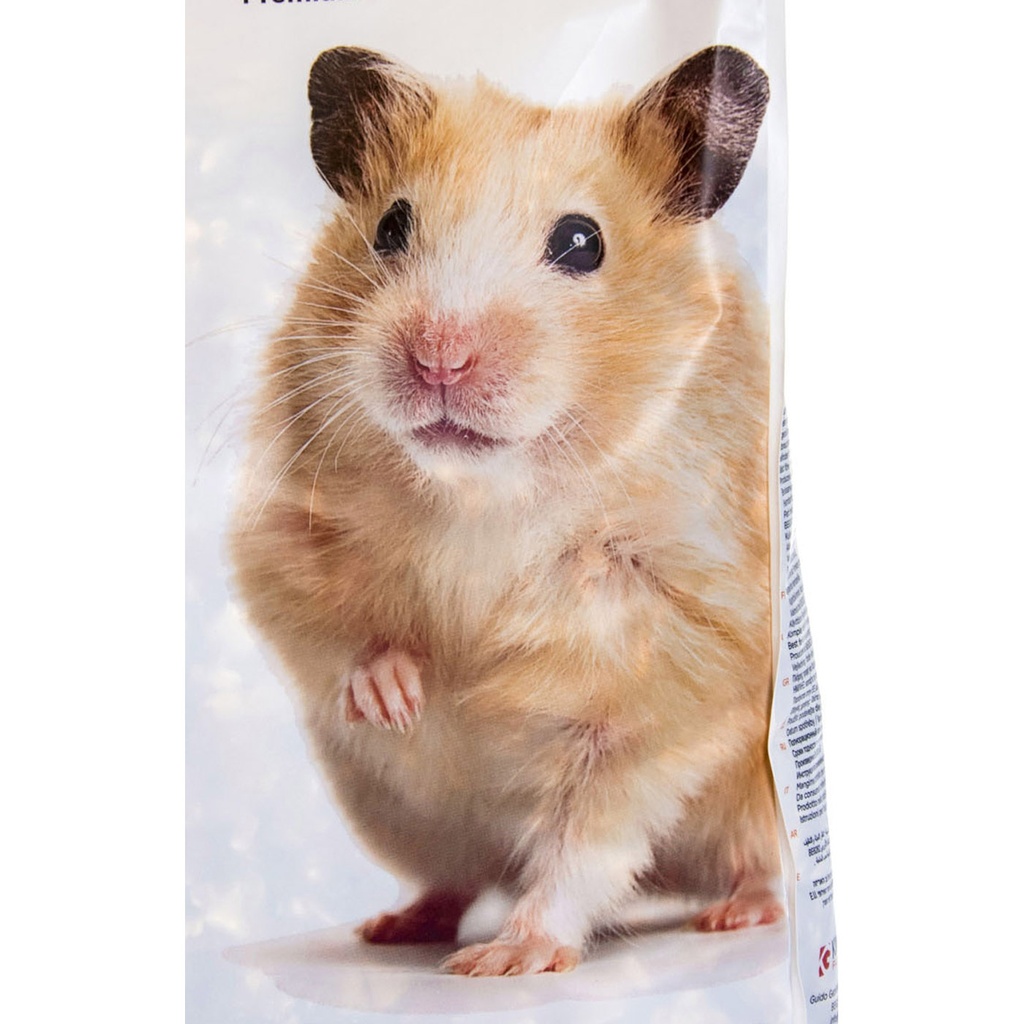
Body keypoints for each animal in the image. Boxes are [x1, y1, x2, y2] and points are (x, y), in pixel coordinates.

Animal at [231, 43, 781, 977]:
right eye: (390, 226)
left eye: (582, 242)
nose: (438, 360)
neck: (484, 495)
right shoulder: (282, 533)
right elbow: (331, 630)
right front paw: (406, 695)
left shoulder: (669, 677)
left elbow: (583, 839)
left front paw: (508, 962)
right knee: (455, 876)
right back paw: (395, 925)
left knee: (756, 865)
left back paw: (738, 915)